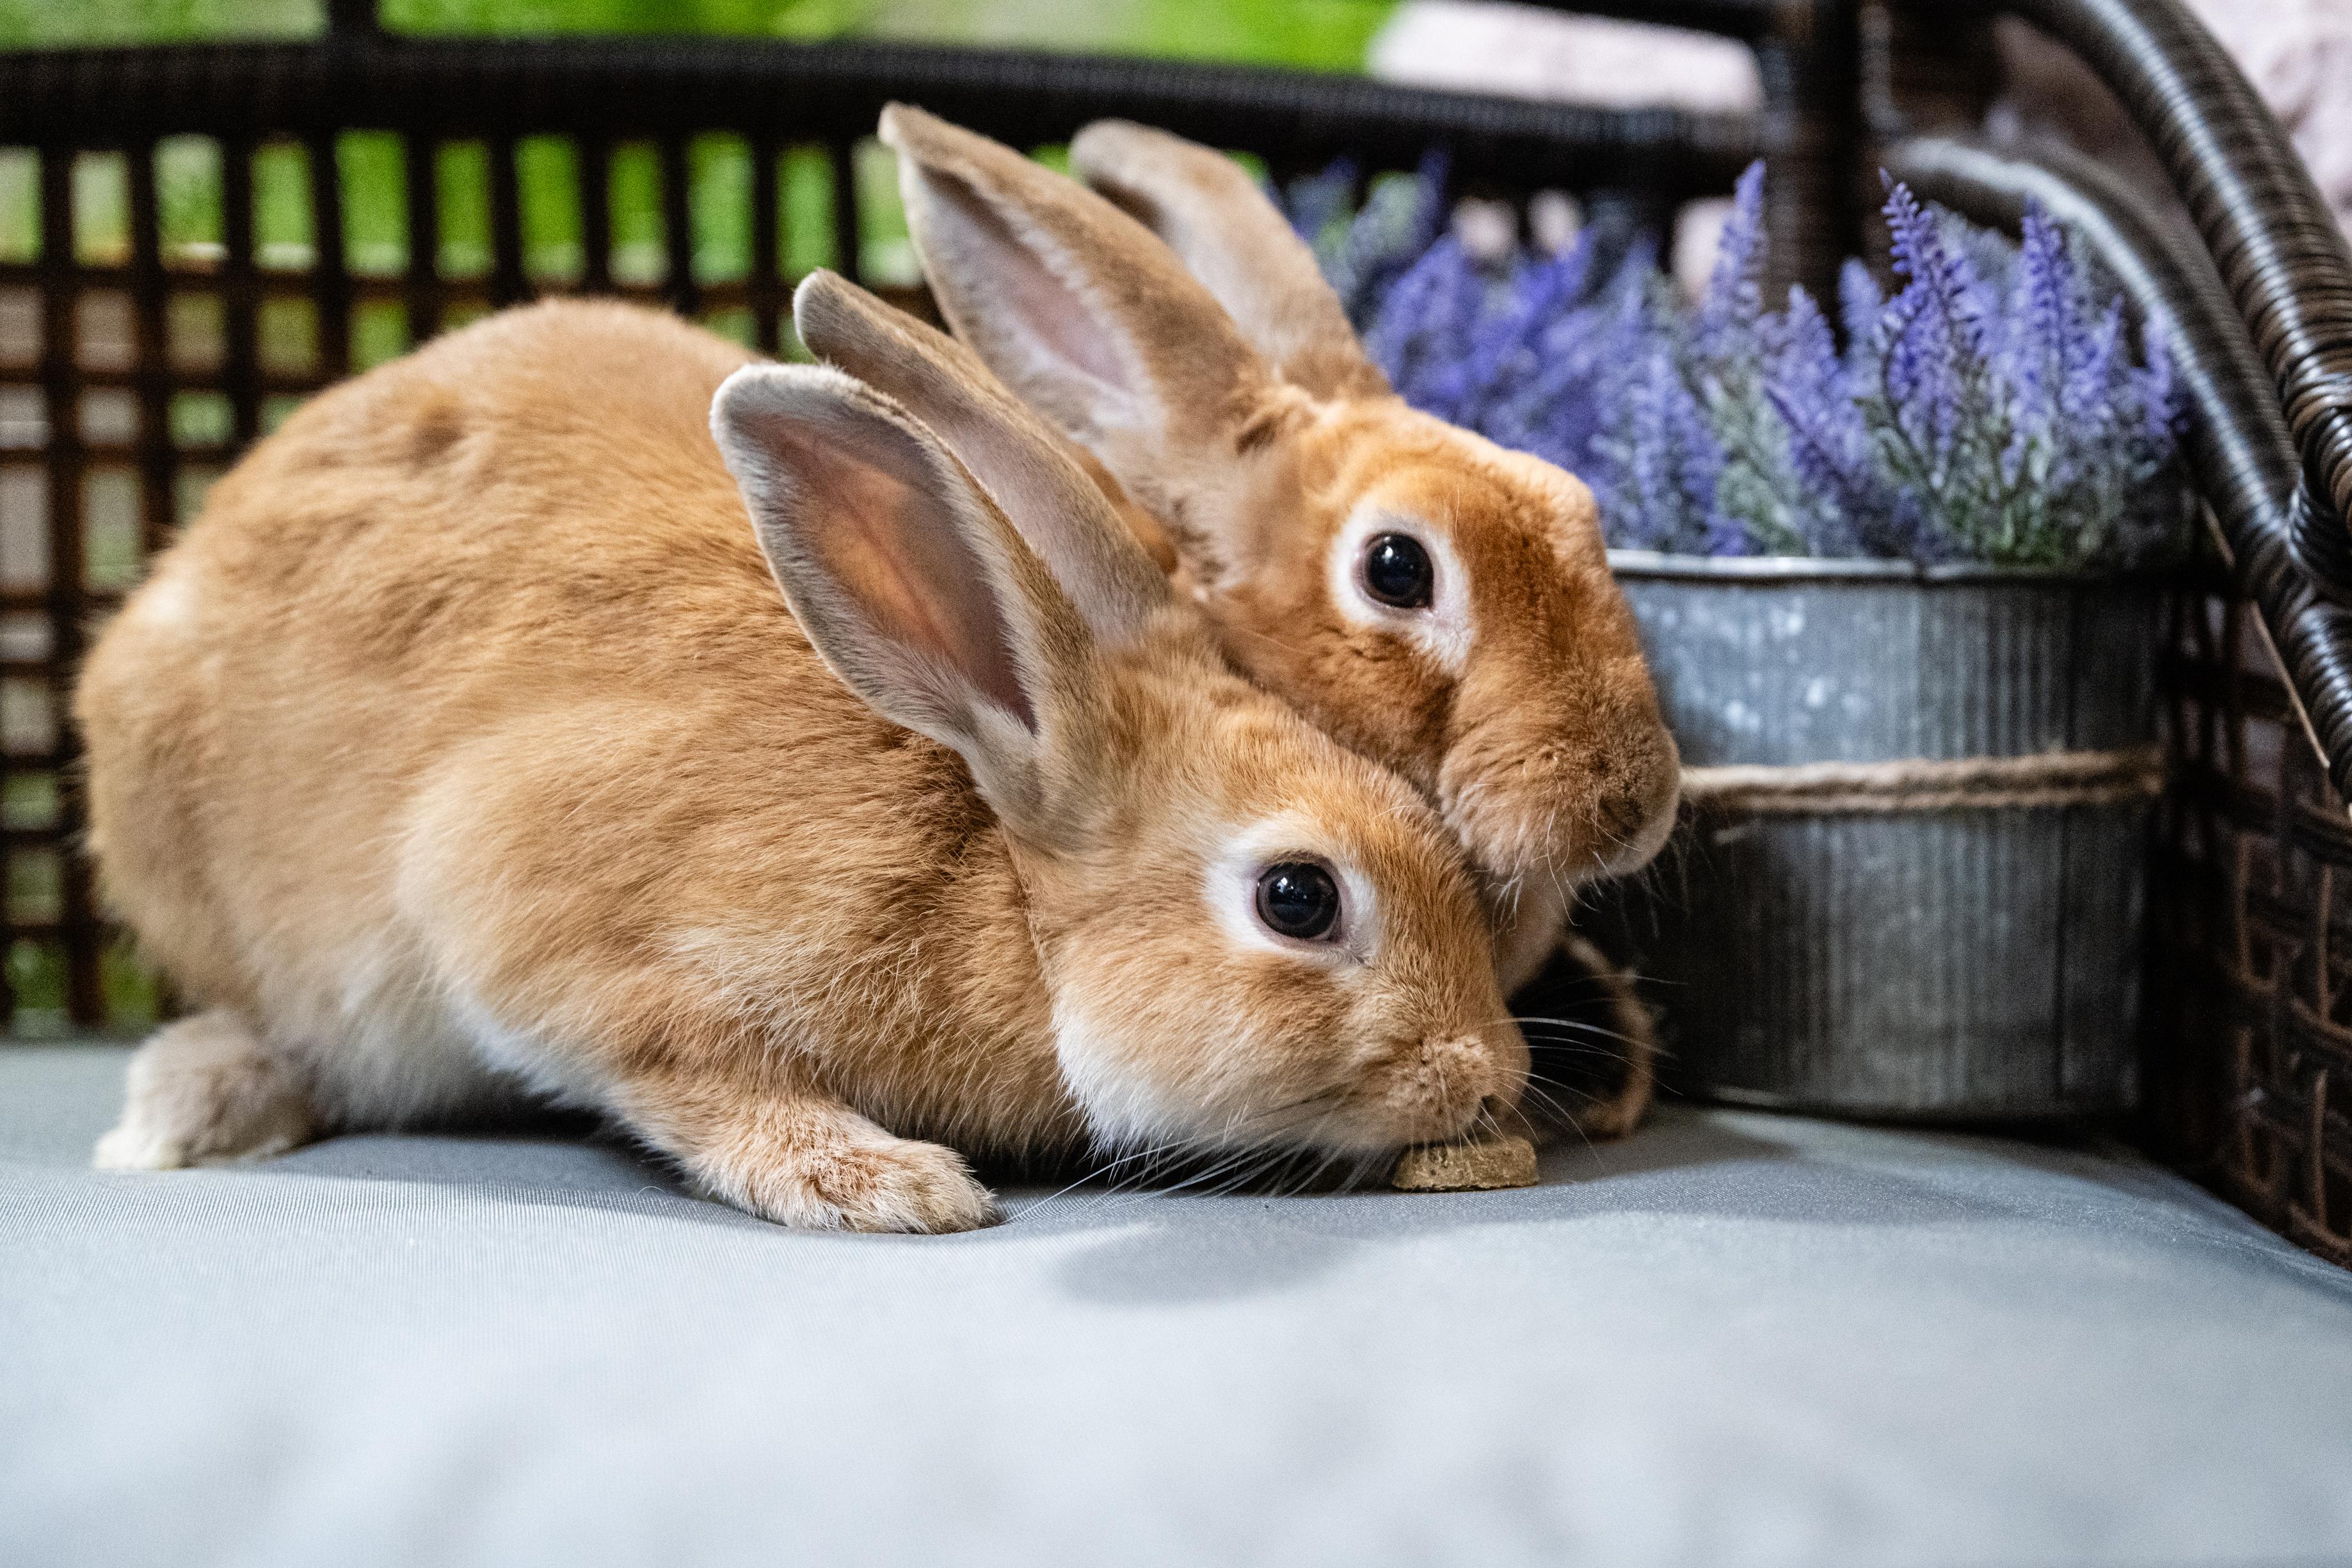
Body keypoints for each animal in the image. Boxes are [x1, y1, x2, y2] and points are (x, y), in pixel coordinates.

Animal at [76, 290, 1526, 1232]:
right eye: (1299, 896)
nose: (1492, 1072)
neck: (1002, 886)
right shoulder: (533, 912)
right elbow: (691, 1072)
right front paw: (880, 1184)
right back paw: (184, 1114)